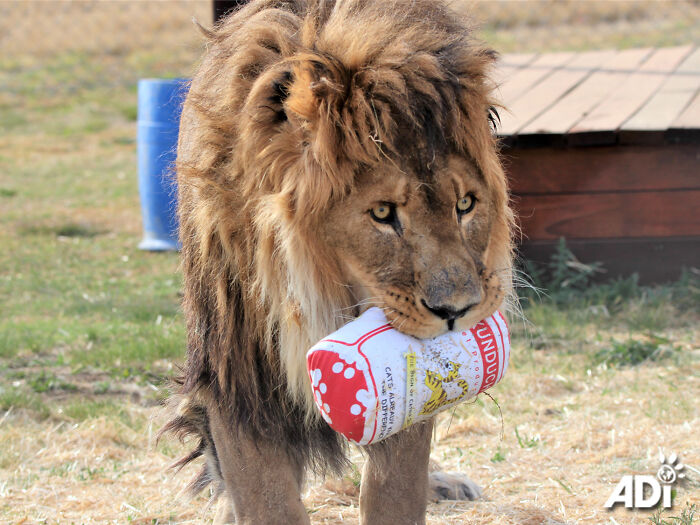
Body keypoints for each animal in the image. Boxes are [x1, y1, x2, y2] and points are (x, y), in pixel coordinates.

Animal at [162, 1, 514, 523]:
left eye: (466, 204)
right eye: (383, 214)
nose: (458, 311)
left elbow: (394, 486)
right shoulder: (236, 369)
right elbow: (265, 496)